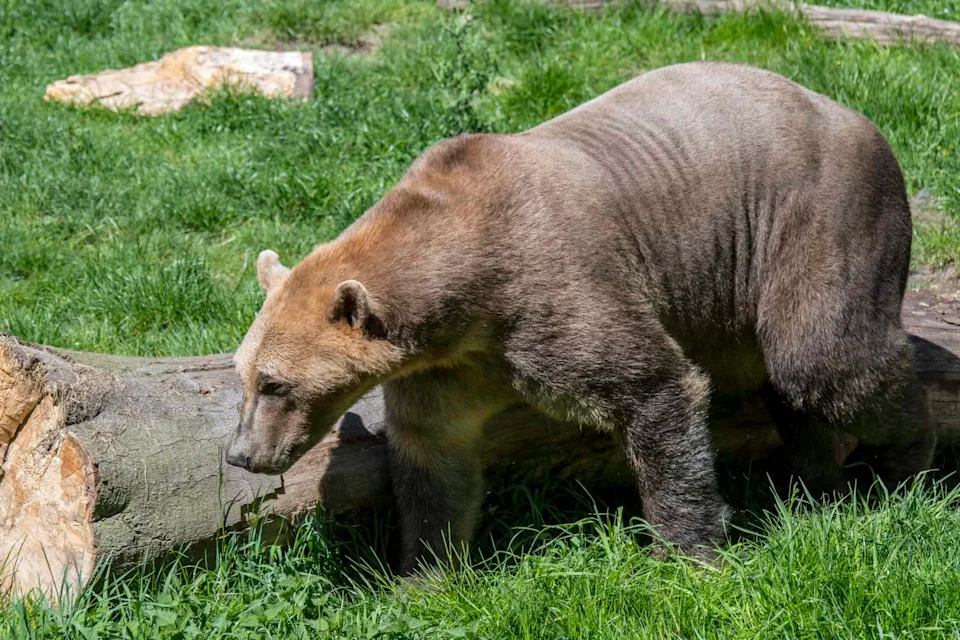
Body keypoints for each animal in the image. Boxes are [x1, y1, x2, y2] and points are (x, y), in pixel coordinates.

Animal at [226, 62, 934, 571]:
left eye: (276, 383)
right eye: (244, 376)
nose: (241, 454)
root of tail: (857, 116)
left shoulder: (554, 292)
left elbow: (654, 387)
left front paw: (688, 553)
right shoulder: (451, 363)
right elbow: (434, 456)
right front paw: (423, 572)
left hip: (818, 216)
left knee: (824, 361)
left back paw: (907, 463)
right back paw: (815, 476)